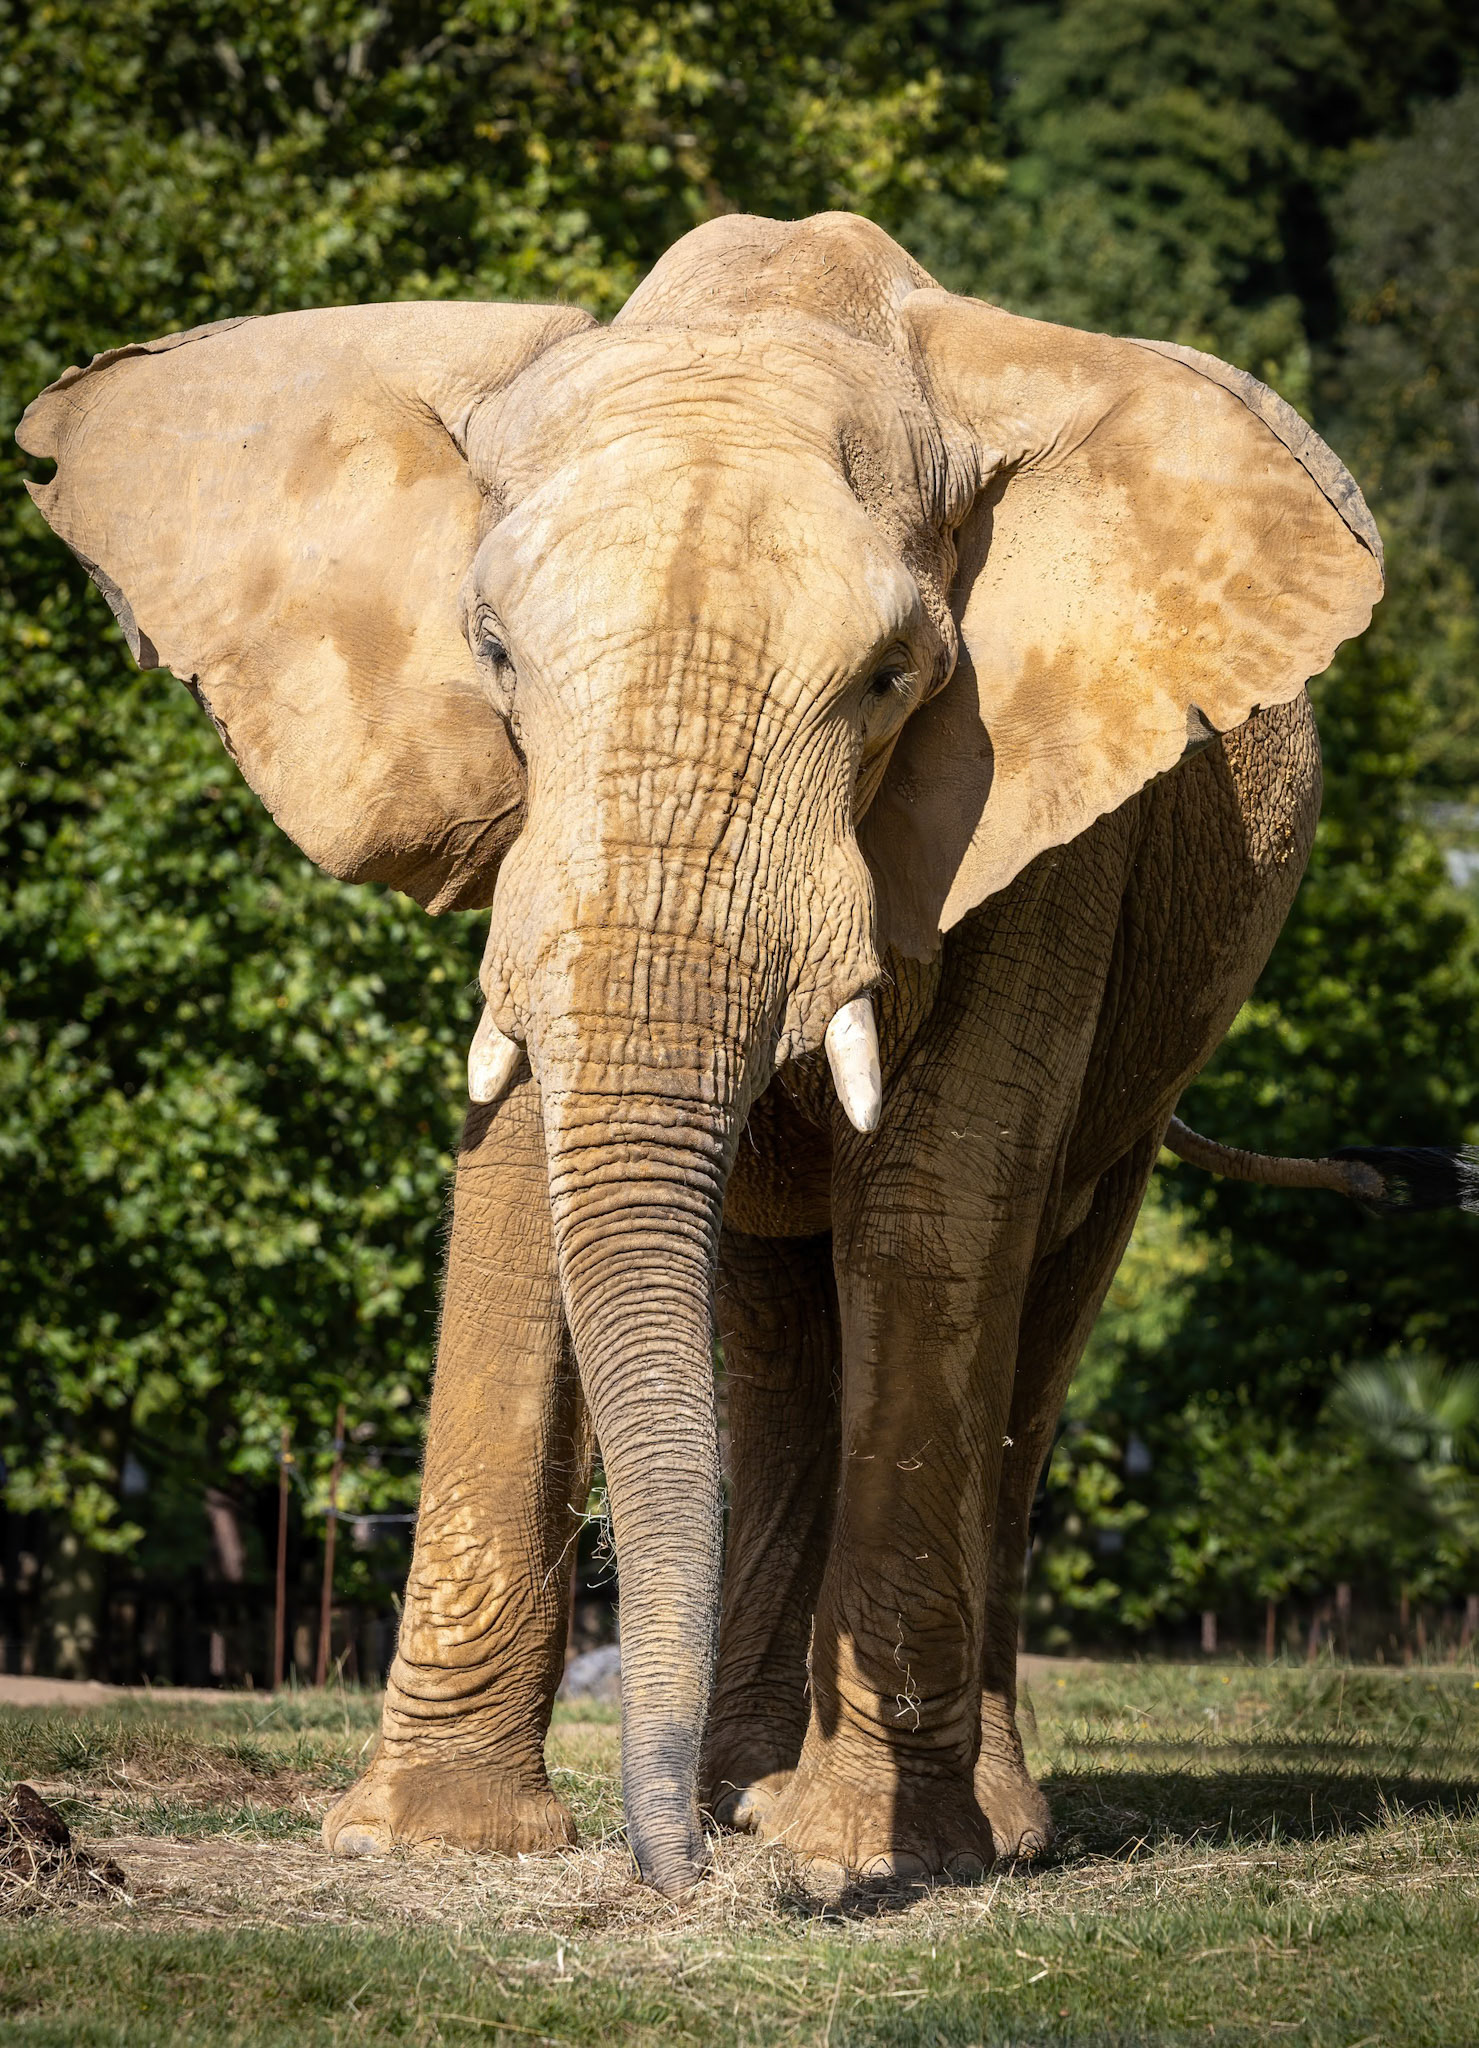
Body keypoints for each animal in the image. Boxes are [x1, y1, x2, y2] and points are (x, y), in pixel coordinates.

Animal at [20, 210, 1391, 1896]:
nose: (662, 1868)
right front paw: (429, 1841)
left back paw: (955, 1826)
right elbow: (513, 1191)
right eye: (488, 650)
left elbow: (936, 1205)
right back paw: (744, 1785)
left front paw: (864, 1855)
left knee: (1035, 1304)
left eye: (890, 680)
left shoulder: (1057, 813)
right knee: (778, 1333)